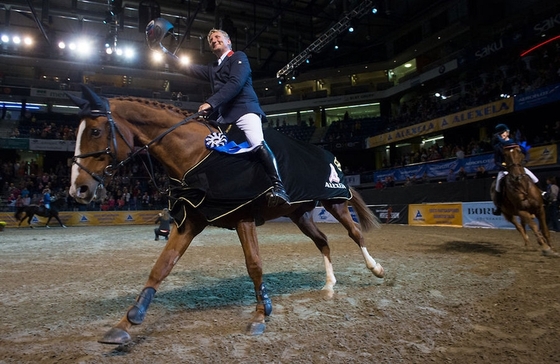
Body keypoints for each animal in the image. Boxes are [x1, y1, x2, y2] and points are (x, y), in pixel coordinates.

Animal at [68, 84, 384, 344]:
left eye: (95, 132)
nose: (77, 190)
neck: (199, 156)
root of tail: (328, 155)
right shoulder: (189, 222)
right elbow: (161, 267)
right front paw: (127, 321)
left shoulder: (244, 217)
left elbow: (254, 265)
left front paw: (260, 314)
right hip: (301, 214)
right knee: (323, 241)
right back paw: (329, 285)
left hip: (335, 202)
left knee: (354, 232)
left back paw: (375, 268)